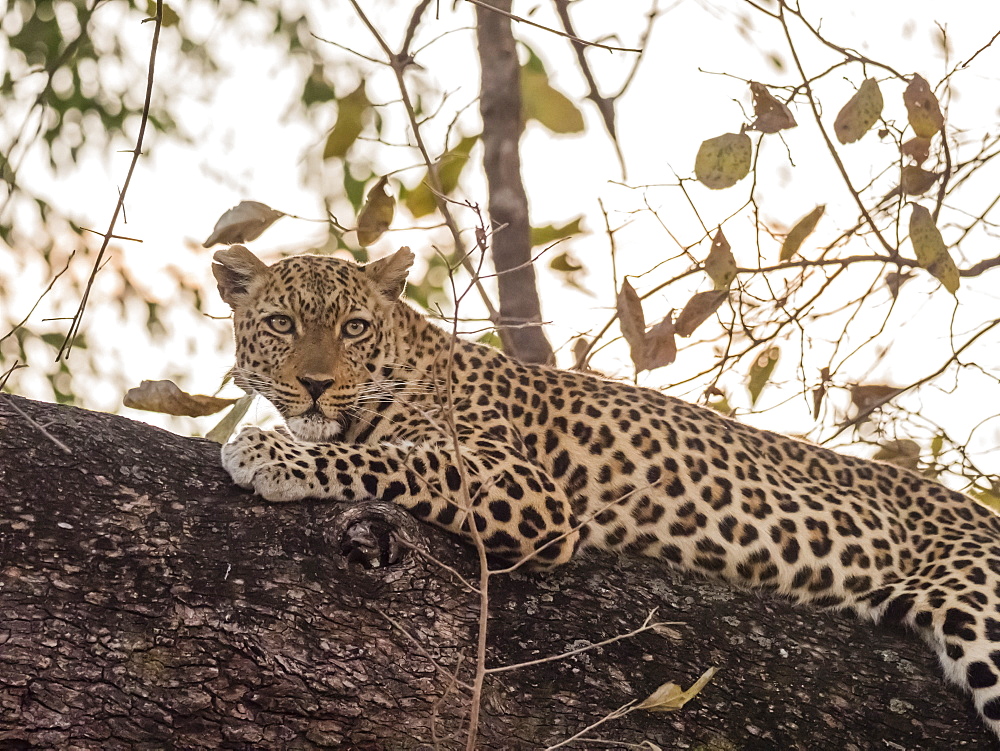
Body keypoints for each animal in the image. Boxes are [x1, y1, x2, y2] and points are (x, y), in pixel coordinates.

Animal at [215, 242, 1000, 740]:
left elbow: (392, 456)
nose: (317, 383)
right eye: (282, 324)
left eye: (353, 327)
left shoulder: (524, 485)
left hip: (981, 608)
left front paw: (271, 450)